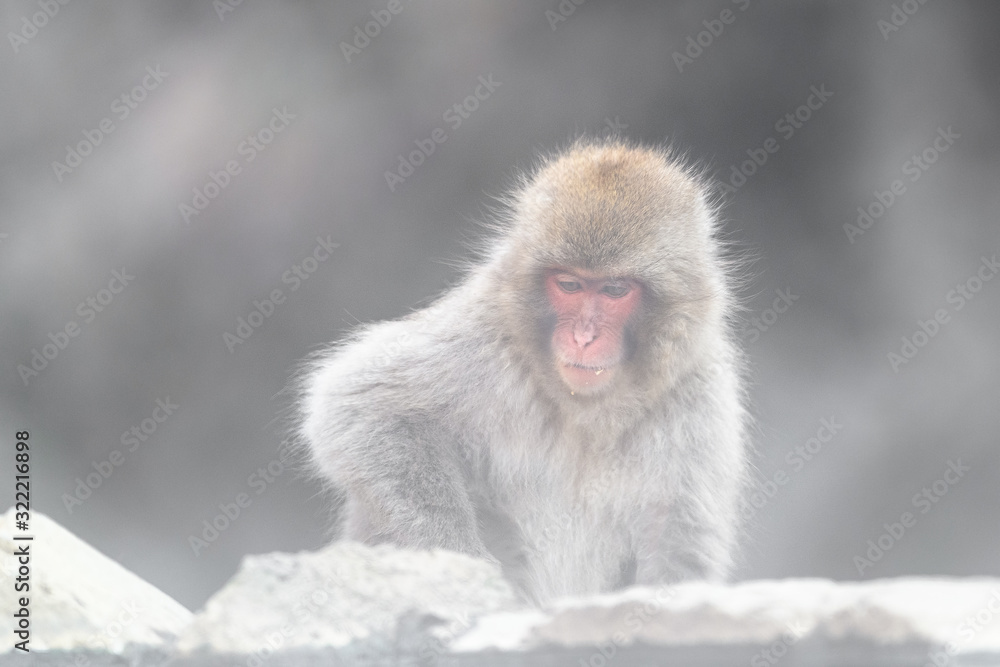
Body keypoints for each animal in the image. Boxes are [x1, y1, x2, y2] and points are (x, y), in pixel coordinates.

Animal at [299, 138, 750, 604]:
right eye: (569, 285)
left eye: (614, 290)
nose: (583, 337)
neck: (585, 410)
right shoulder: (486, 337)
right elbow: (357, 404)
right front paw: (472, 571)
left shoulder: (700, 393)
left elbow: (679, 537)